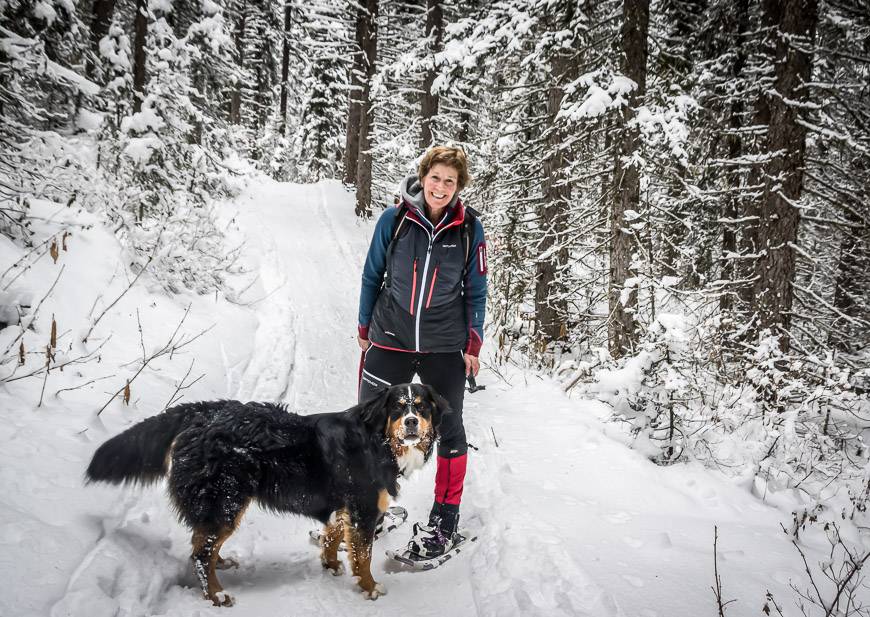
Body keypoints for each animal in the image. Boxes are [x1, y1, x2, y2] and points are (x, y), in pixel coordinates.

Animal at [84, 382, 450, 604]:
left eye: (421, 407)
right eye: (398, 409)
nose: (412, 422)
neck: (378, 441)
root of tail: (202, 412)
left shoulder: (343, 506)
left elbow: (332, 537)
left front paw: (331, 565)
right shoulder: (363, 508)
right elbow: (364, 556)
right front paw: (369, 588)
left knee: (205, 546)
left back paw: (222, 565)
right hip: (225, 501)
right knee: (201, 553)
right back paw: (216, 596)